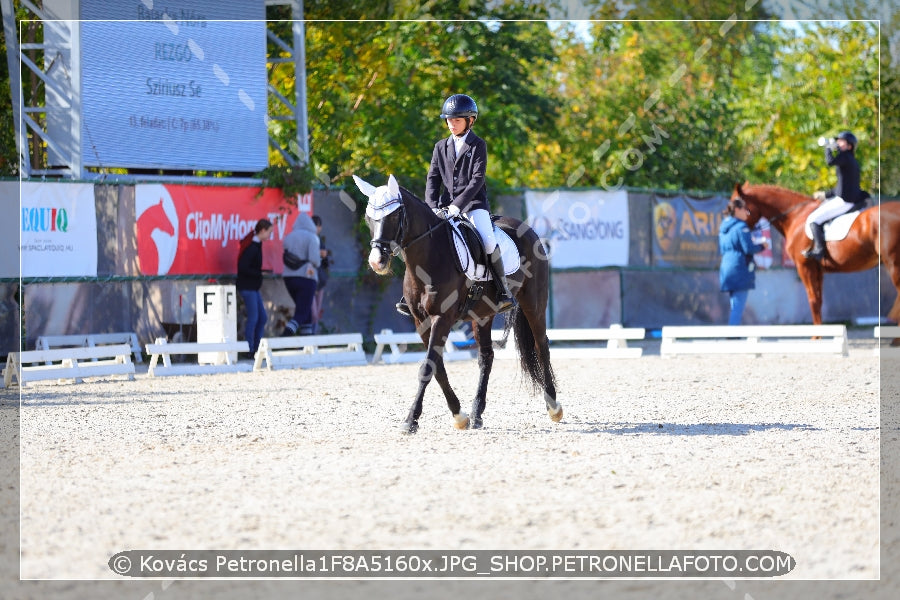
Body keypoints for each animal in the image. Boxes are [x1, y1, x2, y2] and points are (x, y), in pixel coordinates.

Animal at [354, 172, 560, 432]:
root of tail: (527, 228)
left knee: (542, 346)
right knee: (486, 357)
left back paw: (554, 407)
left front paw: (411, 419)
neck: (428, 257)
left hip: (534, 303)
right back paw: (477, 413)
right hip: (482, 315)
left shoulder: (442, 318)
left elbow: (428, 366)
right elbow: (437, 367)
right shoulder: (421, 321)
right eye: (368, 218)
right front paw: (459, 415)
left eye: (393, 216)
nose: (377, 262)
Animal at [732, 182, 900, 326]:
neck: (796, 216)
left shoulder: (805, 267)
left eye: (735, 204)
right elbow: (819, 301)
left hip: (893, 263)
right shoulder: (818, 270)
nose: (732, 226)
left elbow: (813, 300)